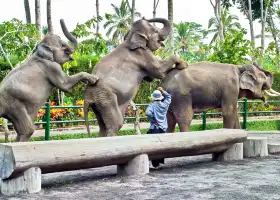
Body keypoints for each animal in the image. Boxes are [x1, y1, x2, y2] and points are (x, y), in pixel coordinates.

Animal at [0, 0, 98, 141]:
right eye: (63, 46)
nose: (61, 18)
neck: (40, 51)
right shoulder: (51, 67)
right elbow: (65, 85)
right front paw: (94, 79)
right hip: (14, 104)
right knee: (27, 130)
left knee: (20, 131)